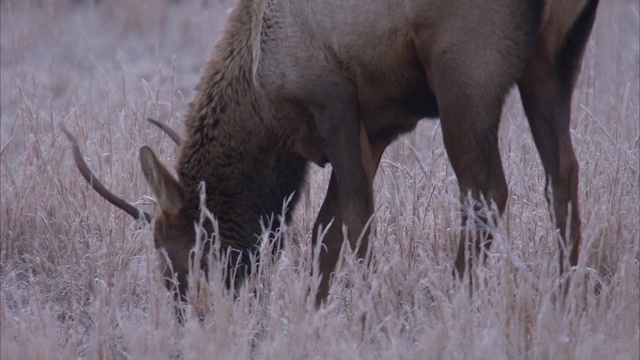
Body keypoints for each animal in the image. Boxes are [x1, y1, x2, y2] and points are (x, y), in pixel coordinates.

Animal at [62, 0, 596, 304]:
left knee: (485, 190)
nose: (186, 314)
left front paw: (370, 311)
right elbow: (326, 229)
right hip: (555, 59)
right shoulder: (376, 127)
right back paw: (566, 295)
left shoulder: (334, 100)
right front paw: (313, 309)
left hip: (466, 68)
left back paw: (457, 299)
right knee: (563, 174)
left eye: (176, 252)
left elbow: (355, 218)